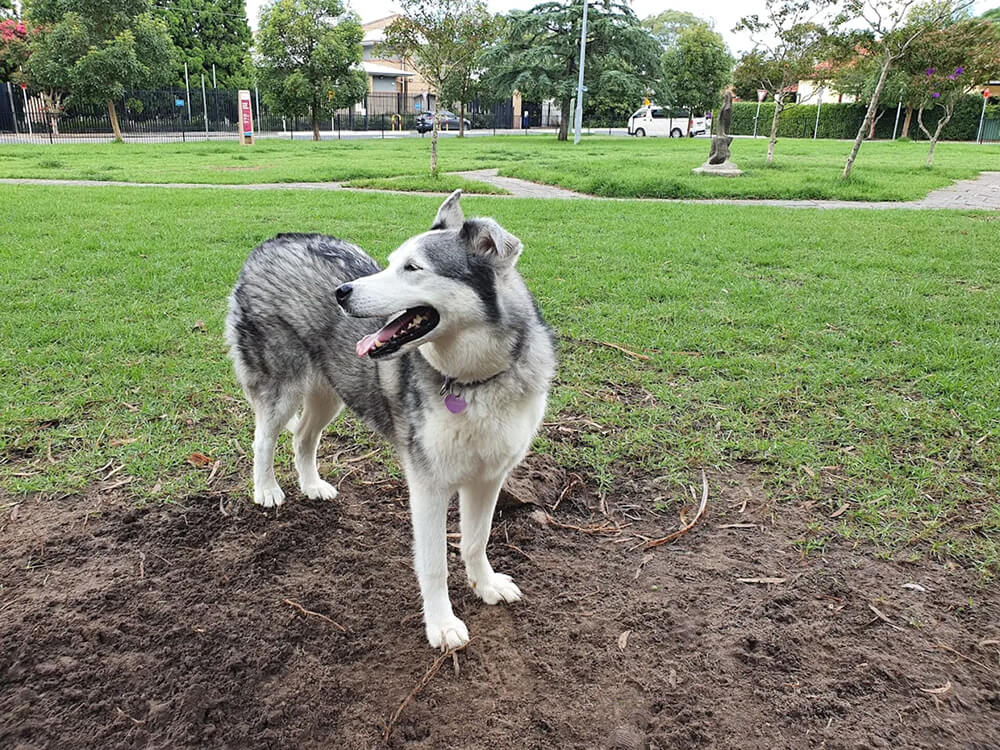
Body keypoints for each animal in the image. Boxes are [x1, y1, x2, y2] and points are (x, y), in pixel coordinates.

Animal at [225, 190, 556, 649]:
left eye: (412, 268)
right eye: (389, 262)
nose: (340, 292)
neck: (473, 382)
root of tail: (274, 240)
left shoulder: (489, 477)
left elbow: (476, 540)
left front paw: (485, 585)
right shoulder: (429, 486)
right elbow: (434, 564)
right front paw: (441, 624)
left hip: (330, 395)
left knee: (303, 438)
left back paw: (311, 485)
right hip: (282, 389)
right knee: (264, 440)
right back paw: (267, 490)